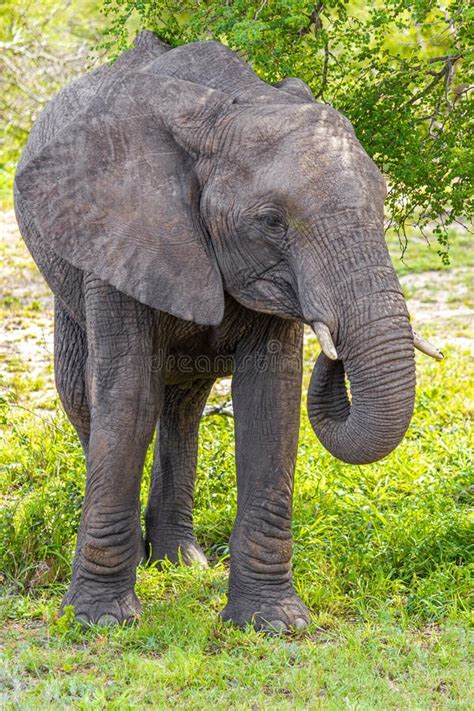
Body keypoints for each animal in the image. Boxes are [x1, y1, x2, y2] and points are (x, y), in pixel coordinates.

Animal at [12, 30, 442, 632]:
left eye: (384, 202)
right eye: (272, 222)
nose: (333, 346)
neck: (233, 105)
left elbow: (270, 401)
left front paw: (274, 624)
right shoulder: (117, 235)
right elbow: (127, 395)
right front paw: (98, 622)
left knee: (184, 406)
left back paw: (179, 563)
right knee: (85, 396)